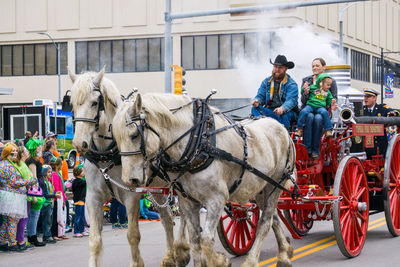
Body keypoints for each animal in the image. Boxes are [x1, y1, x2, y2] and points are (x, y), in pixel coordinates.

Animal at [69, 69, 191, 267]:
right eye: (72, 103)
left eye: (95, 102)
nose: (80, 144)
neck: (107, 153)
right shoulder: (93, 197)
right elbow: (94, 240)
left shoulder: (131, 194)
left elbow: (133, 235)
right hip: (158, 189)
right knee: (167, 219)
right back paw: (169, 257)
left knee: (186, 215)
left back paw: (181, 251)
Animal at [111, 93, 296, 266]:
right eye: (116, 138)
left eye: (134, 135)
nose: (129, 179)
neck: (197, 142)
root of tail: (281, 127)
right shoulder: (188, 201)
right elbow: (195, 240)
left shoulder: (216, 199)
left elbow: (206, 240)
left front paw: (221, 261)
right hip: (260, 189)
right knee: (272, 217)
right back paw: (285, 251)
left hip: (276, 184)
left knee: (265, 223)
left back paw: (258, 260)